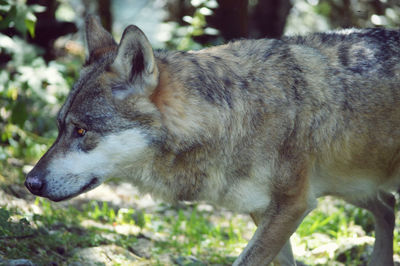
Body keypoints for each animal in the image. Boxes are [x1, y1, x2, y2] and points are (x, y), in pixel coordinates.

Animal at [25, 15, 400, 264]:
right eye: (60, 127)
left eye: (82, 131)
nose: (30, 182)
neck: (233, 114)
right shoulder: (263, 210)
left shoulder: (292, 206)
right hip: (351, 187)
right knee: (386, 207)